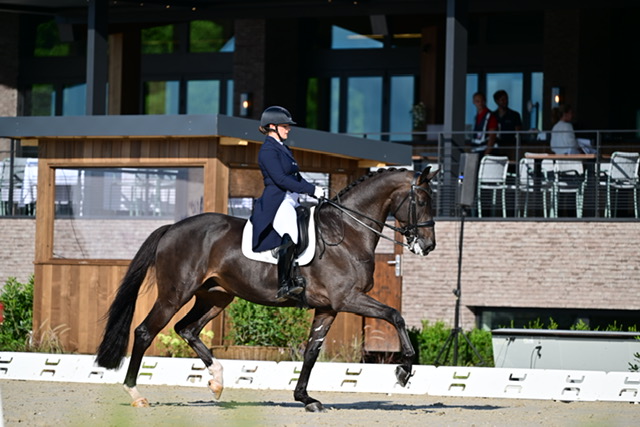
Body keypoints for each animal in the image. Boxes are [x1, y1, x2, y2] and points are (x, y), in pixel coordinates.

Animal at [96, 166, 440, 412]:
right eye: (422, 201)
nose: (427, 246)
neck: (347, 232)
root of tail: (172, 228)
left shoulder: (328, 307)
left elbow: (311, 352)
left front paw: (306, 398)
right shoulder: (348, 299)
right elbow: (395, 315)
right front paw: (404, 370)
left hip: (216, 296)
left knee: (187, 329)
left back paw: (217, 381)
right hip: (174, 294)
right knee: (145, 332)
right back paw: (136, 394)